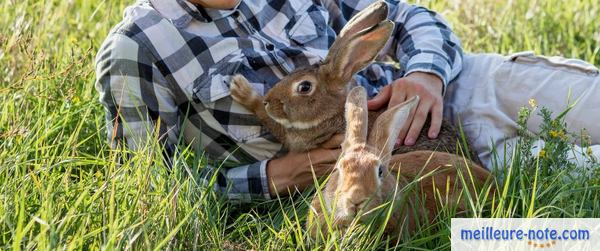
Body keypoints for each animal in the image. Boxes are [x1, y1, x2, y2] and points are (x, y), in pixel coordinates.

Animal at [230, 0, 478, 162]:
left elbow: (268, 121)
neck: (333, 114)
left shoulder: (298, 137)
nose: (269, 102)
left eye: (304, 87)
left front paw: (241, 90)